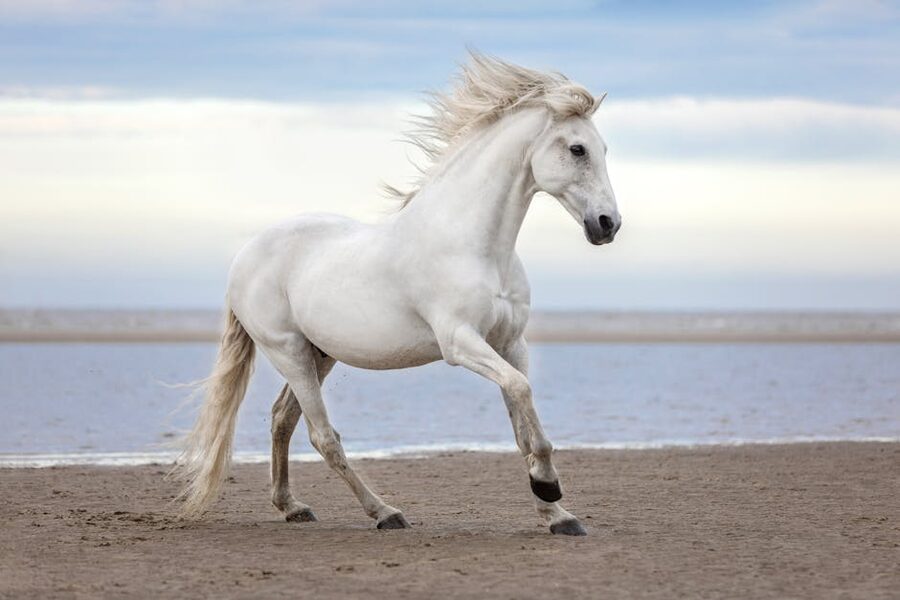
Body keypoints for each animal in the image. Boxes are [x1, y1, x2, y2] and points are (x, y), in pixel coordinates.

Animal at [171, 52, 621, 536]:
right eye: (577, 149)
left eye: (603, 149)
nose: (607, 224)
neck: (476, 246)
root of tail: (245, 256)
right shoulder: (460, 343)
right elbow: (522, 394)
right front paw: (548, 487)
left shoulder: (510, 344)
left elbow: (523, 420)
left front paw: (558, 515)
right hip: (287, 351)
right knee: (323, 436)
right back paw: (385, 512)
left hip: (319, 354)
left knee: (282, 420)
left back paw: (292, 507)